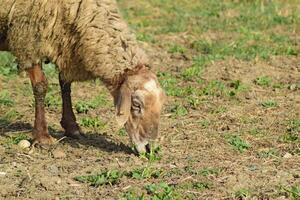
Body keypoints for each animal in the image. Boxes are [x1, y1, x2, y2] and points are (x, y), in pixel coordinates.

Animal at [0, 0, 166, 153]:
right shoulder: (28, 39)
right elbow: (40, 86)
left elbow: (65, 85)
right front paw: (42, 137)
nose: (150, 148)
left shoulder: (64, 47)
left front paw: (72, 127)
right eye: (136, 104)